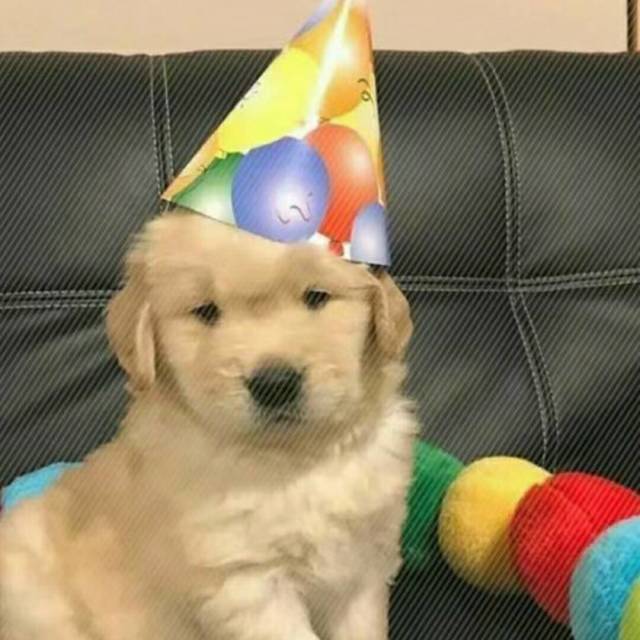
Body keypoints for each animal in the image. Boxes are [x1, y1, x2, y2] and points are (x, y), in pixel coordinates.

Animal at [0, 209, 417, 640]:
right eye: (206, 311)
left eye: (316, 296)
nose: (274, 384)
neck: (295, 460)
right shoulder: (247, 583)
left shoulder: (363, 568)